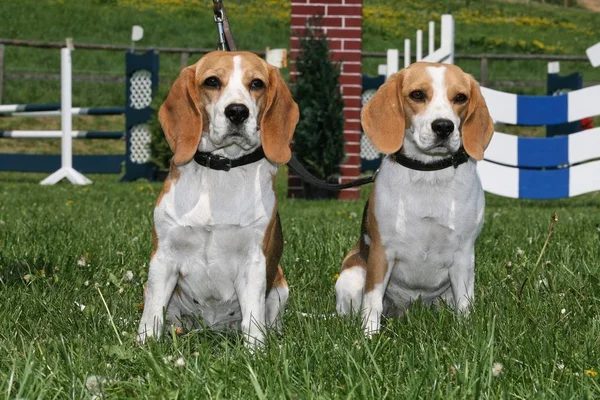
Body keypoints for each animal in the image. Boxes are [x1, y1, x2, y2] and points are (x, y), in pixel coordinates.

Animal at [139, 50, 300, 346]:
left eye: (256, 83)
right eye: (212, 81)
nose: (237, 111)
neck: (222, 170)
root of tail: (212, 327)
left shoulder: (253, 262)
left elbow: (253, 321)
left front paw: (255, 352)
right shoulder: (164, 257)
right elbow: (152, 314)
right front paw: (144, 346)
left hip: (280, 286)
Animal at [336, 61, 494, 334]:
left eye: (460, 97)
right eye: (417, 95)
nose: (444, 126)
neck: (428, 172)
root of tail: (408, 310)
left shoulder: (464, 253)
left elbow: (465, 302)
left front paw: (466, 333)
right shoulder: (382, 251)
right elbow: (373, 300)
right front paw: (369, 336)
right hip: (352, 276)